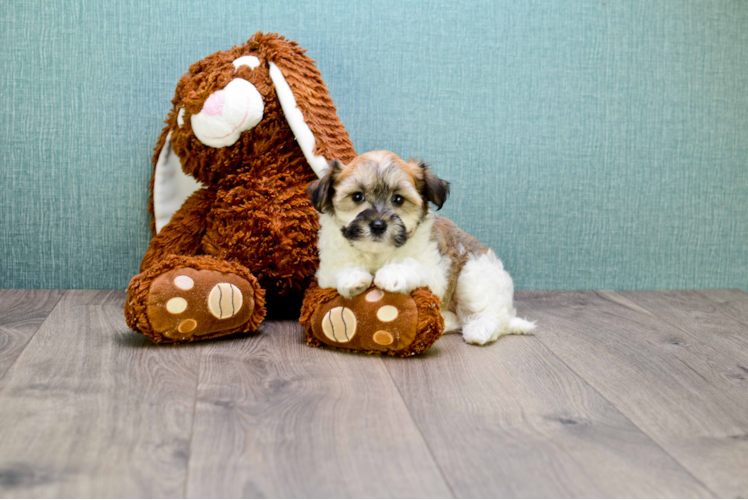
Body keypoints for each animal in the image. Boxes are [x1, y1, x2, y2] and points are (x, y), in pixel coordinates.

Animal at [306, 150, 536, 346]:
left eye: (398, 199)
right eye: (357, 197)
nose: (378, 225)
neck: (377, 253)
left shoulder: (434, 270)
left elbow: (412, 265)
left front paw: (391, 274)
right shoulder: (327, 269)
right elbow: (340, 269)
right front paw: (353, 278)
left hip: (474, 275)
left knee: (496, 316)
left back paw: (479, 329)